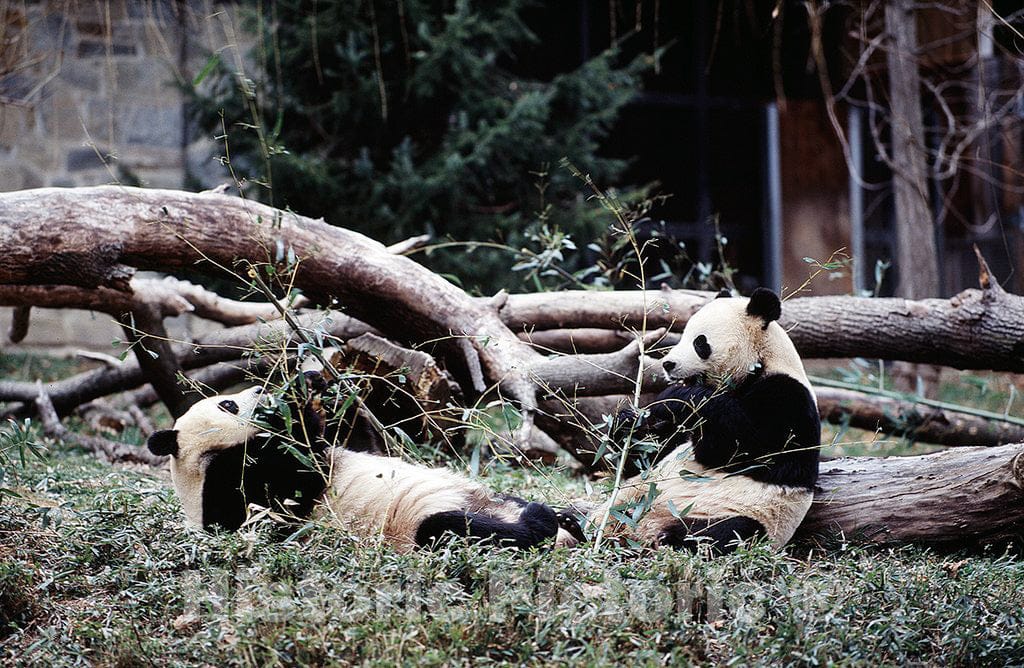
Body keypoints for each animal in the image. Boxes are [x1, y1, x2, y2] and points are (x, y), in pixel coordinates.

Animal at [146, 372, 562, 552]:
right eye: (229, 404)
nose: (262, 389)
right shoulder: (228, 483)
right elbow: (290, 481)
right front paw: (295, 405)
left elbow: (361, 442)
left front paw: (317, 380)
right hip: (414, 528)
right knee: (453, 530)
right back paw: (541, 521)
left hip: (486, 496)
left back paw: (565, 516)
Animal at [558, 288, 820, 554]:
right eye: (683, 336)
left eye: (700, 342)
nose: (667, 364)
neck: (760, 363)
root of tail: (634, 532)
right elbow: (649, 455)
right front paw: (626, 422)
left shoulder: (788, 398)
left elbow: (751, 449)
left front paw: (677, 396)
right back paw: (573, 523)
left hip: (739, 515)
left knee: (727, 532)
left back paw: (669, 540)